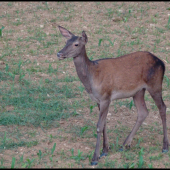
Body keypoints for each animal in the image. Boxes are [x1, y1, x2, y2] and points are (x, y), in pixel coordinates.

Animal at [56, 25, 169, 165]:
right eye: (66, 41)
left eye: (76, 44)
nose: (59, 54)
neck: (91, 79)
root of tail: (162, 63)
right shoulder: (98, 100)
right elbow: (104, 123)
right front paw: (105, 150)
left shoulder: (106, 96)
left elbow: (99, 125)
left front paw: (95, 158)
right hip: (138, 91)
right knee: (143, 112)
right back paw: (125, 144)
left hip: (155, 84)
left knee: (162, 108)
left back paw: (165, 147)